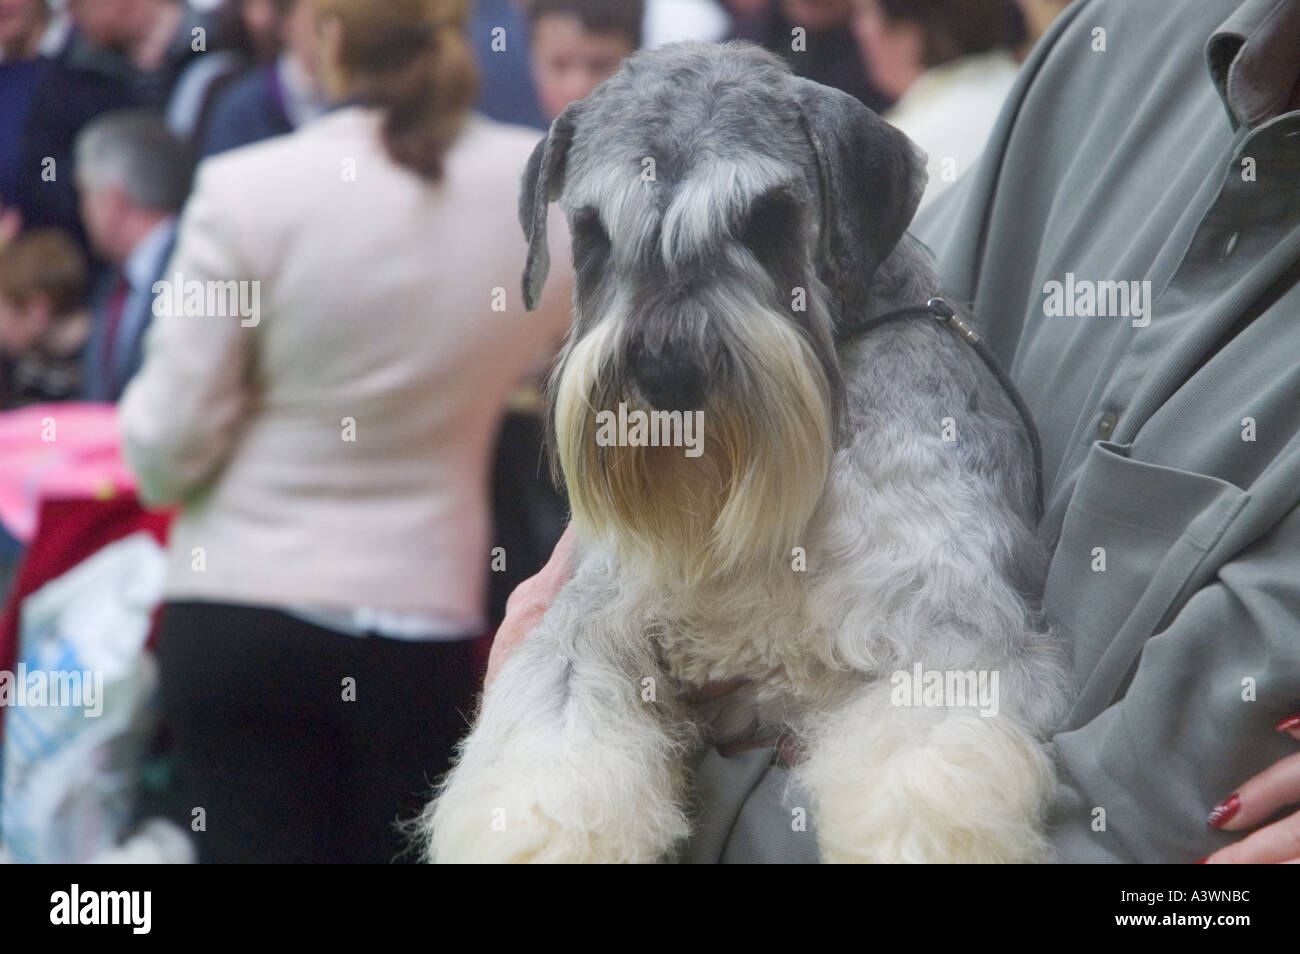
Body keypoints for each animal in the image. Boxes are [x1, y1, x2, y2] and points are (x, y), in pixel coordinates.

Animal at [421, 42, 1071, 868]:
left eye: (766, 217)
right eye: (592, 232)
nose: (666, 371)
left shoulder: (946, 624)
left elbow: (920, 767)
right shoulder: (594, 615)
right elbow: (558, 727)